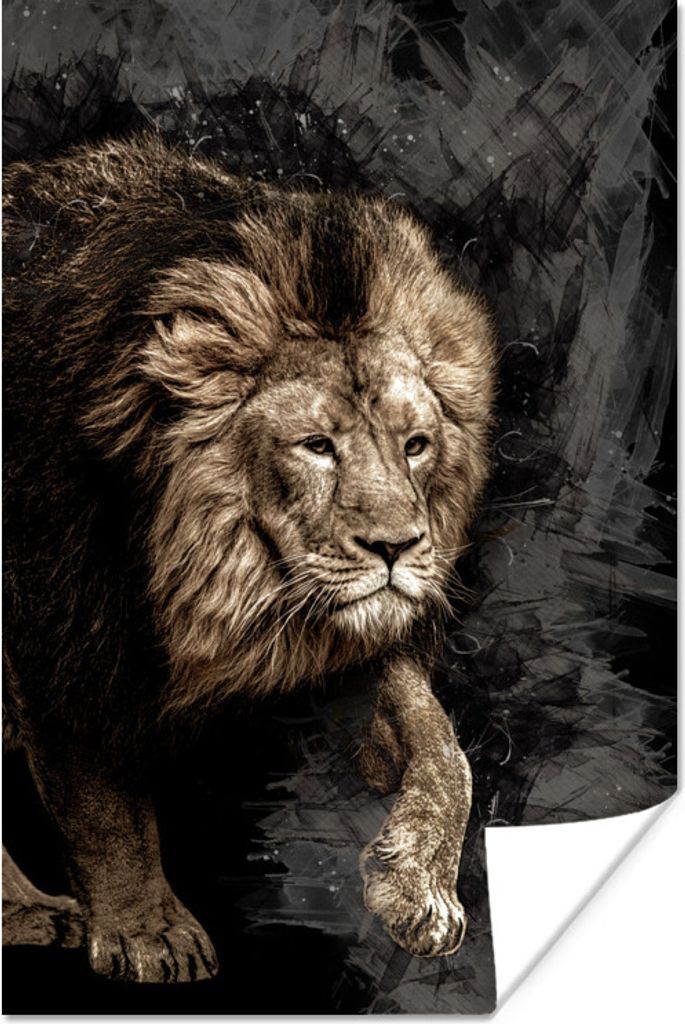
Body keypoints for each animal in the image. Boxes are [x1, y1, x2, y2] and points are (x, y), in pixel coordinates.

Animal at [2, 134, 496, 983]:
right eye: (317, 446)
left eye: (415, 445)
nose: (396, 547)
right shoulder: (61, 622)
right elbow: (100, 795)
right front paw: (147, 931)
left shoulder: (345, 642)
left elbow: (442, 750)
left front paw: (419, 888)